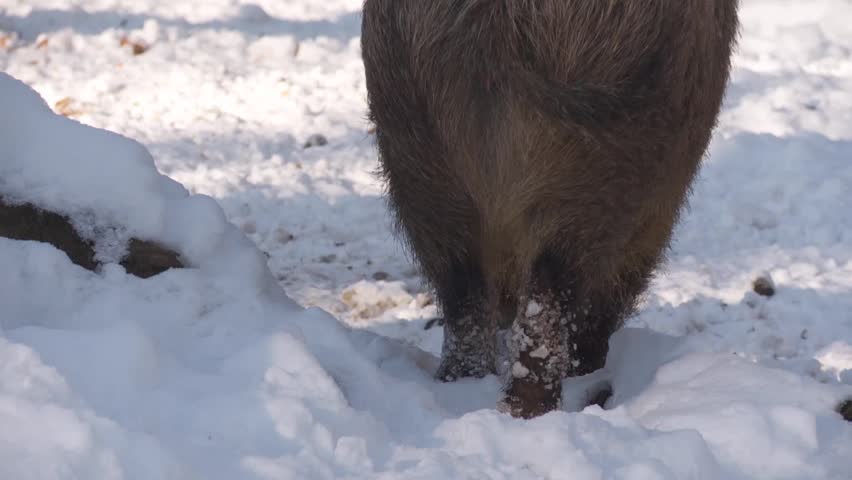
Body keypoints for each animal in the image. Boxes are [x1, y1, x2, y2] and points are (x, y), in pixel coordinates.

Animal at [361, 0, 739, 418]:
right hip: (598, 157)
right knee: (550, 296)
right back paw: (532, 408)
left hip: (413, 142)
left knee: (462, 289)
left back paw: (463, 388)